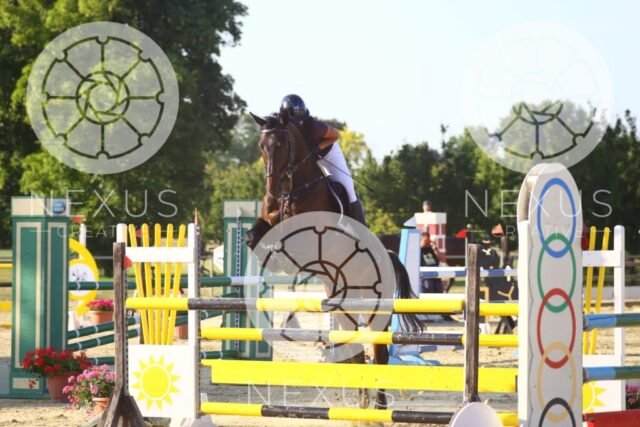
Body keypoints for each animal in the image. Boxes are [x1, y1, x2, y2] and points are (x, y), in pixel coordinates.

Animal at [245, 112, 422, 409]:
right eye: (261, 146)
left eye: (281, 144)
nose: (272, 190)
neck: (294, 190)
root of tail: (389, 255)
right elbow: (254, 237)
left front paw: (282, 259)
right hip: (344, 309)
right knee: (356, 350)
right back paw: (362, 403)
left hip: (375, 309)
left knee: (380, 352)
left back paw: (379, 406)